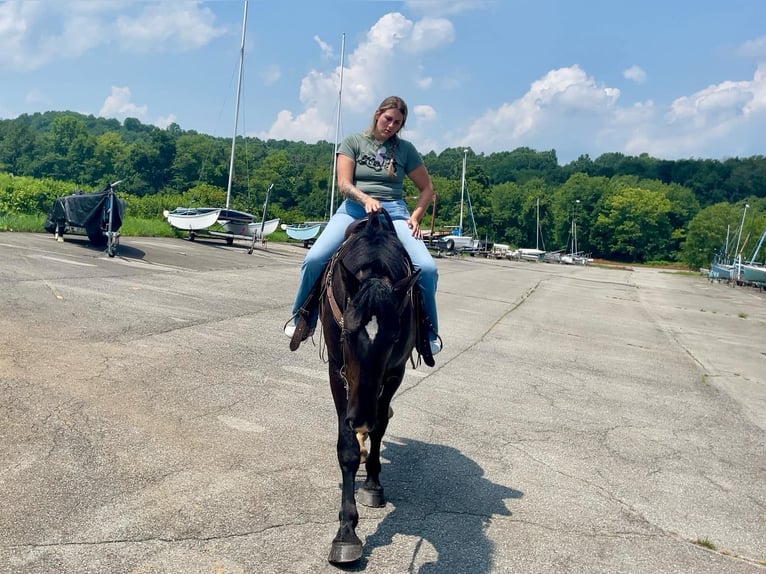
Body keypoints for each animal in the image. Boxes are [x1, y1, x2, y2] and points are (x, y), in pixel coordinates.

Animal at [320, 212, 424, 568]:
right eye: (348, 333)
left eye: (393, 338)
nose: (359, 417)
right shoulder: (337, 371)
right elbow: (348, 449)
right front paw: (346, 532)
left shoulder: (394, 372)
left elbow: (379, 426)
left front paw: (373, 484)